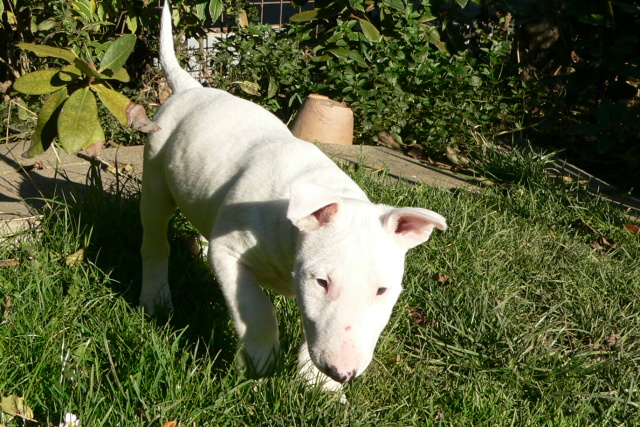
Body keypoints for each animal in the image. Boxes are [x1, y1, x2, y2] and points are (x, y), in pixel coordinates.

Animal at [139, 0, 447, 399]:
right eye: (322, 282)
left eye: (382, 290)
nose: (342, 373)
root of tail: (190, 89)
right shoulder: (230, 254)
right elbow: (257, 310)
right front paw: (259, 366)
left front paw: (318, 386)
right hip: (155, 179)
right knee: (154, 241)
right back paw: (156, 299)